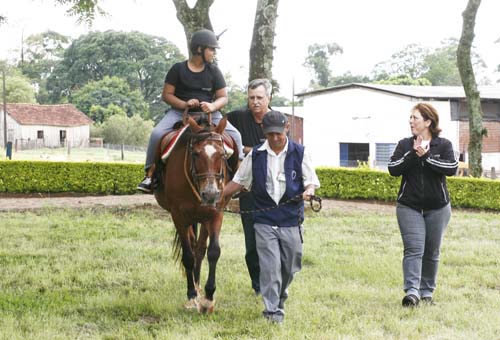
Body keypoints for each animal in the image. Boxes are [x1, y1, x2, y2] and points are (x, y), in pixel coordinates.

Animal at [152, 113, 238, 314]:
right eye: (196, 154)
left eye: (222, 154)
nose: (211, 193)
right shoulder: (178, 216)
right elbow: (188, 256)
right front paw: (191, 296)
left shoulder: (215, 213)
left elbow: (213, 252)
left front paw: (208, 298)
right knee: (192, 248)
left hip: (203, 217)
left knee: (200, 249)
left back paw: (199, 287)